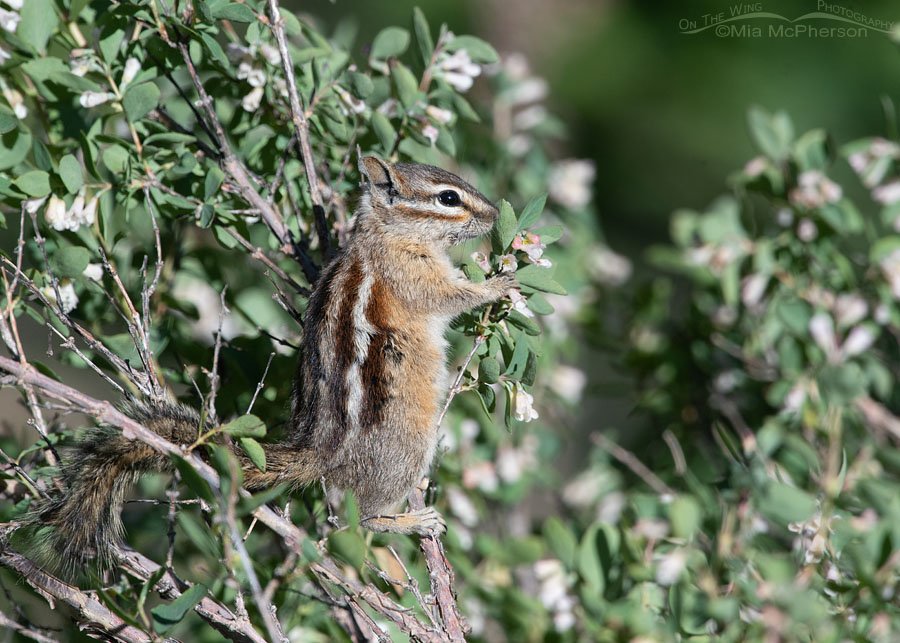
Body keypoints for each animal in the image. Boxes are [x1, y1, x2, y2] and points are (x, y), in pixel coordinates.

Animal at [27, 155, 516, 573]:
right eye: (448, 198)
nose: (494, 215)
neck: (386, 232)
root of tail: (319, 451)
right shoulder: (410, 275)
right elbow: (449, 296)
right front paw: (498, 284)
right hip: (407, 447)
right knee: (354, 520)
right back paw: (411, 521)